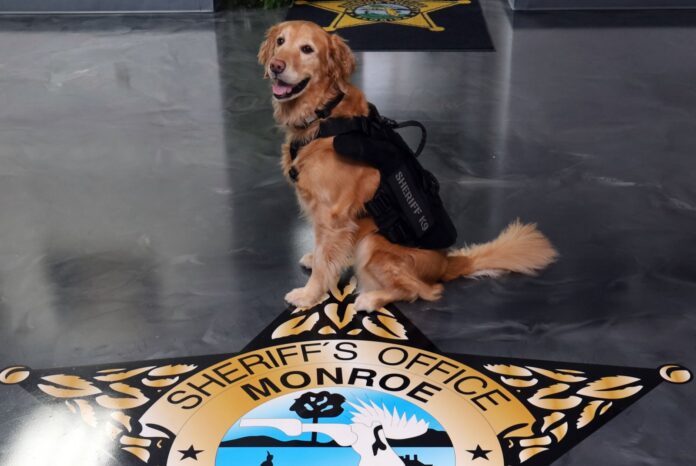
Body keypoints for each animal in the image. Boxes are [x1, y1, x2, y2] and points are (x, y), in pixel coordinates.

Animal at [258, 22, 556, 314]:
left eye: (307, 49)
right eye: (281, 41)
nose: (276, 65)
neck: (324, 115)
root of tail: (446, 263)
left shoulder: (334, 216)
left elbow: (324, 263)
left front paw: (308, 295)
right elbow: (323, 252)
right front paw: (315, 261)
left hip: (374, 244)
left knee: (424, 291)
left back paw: (371, 299)